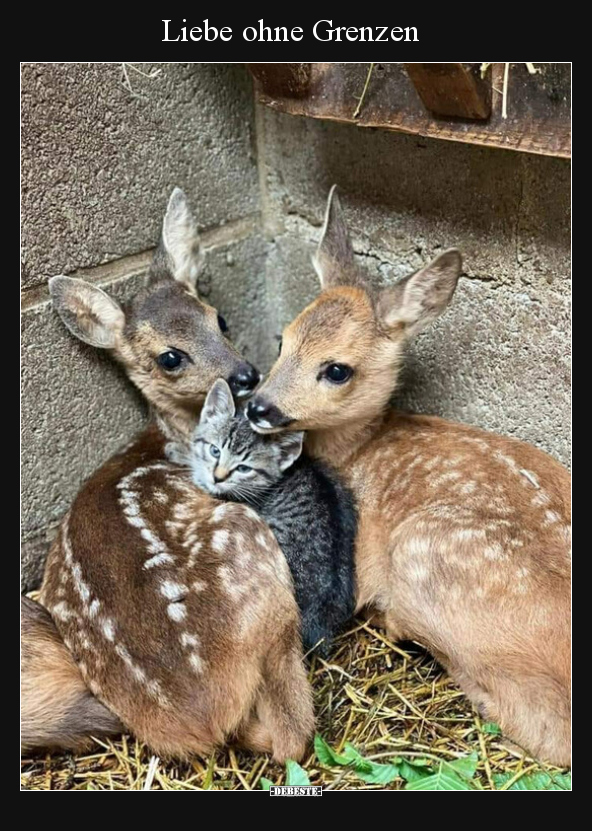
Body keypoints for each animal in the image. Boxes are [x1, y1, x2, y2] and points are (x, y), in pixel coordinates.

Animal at [23, 188, 314, 760]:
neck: (171, 440)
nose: (245, 374)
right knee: (292, 733)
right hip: (250, 544)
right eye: (170, 358)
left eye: (219, 319)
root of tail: (198, 716)